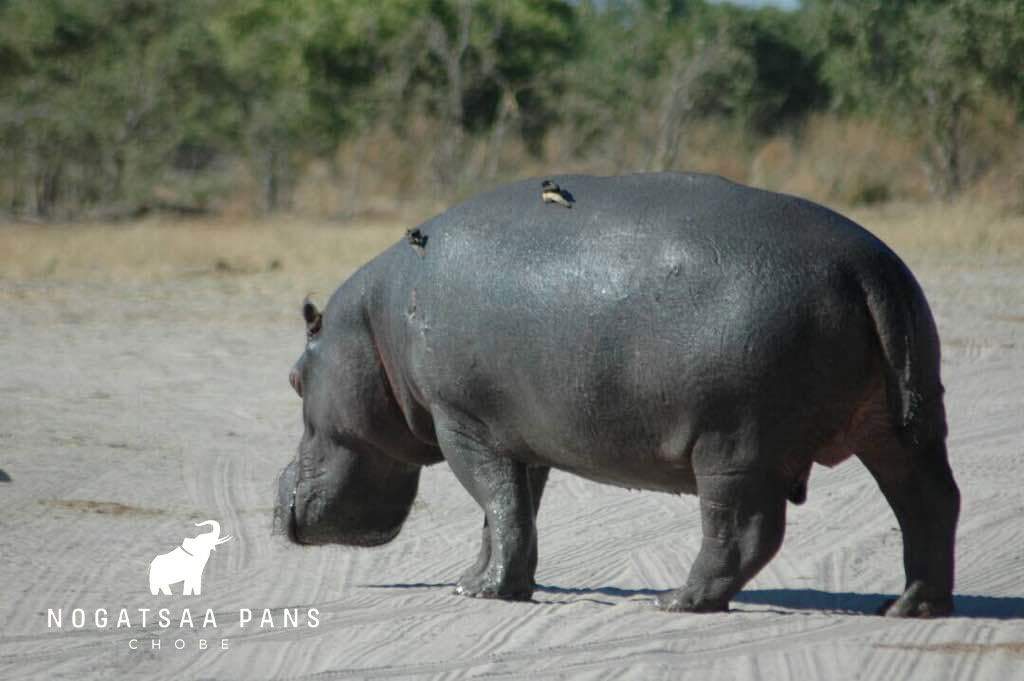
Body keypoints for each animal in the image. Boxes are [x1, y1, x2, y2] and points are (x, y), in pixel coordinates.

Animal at [274, 172, 960, 617]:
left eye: (293, 380)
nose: (277, 489)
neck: (373, 324)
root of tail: (868, 266)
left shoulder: (461, 421)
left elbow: (494, 500)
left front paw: (479, 591)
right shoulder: (516, 435)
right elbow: (510, 513)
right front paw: (487, 582)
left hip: (734, 445)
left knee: (744, 529)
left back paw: (677, 600)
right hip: (903, 427)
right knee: (930, 502)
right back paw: (907, 606)